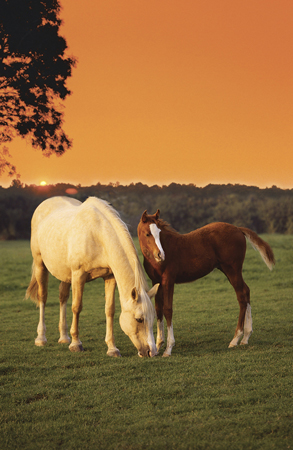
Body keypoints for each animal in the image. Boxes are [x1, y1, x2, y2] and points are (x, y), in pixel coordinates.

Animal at [25, 195, 159, 356]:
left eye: (153, 318)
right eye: (139, 319)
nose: (152, 352)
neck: (98, 234)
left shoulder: (109, 277)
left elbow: (110, 310)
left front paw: (112, 348)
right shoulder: (78, 275)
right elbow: (76, 307)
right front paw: (76, 344)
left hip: (66, 274)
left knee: (62, 296)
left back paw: (64, 337)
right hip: (40, 265)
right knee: (42, 297)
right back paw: (41, 338)